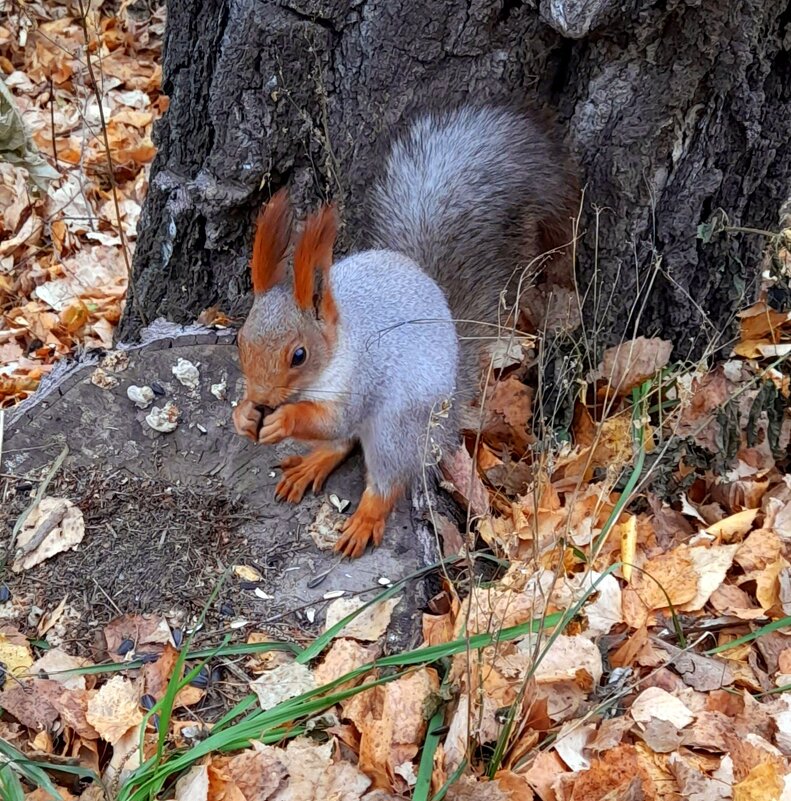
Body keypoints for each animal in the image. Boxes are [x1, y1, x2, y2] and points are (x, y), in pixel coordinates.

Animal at [232, 101, 580, 556]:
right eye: (240, 342)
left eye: (299, 355)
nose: (260, 399)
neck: (338, 346)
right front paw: (242, 414)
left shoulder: (362, 379)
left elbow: (334, 421)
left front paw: (284, 421)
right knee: (344, 445)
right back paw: (312, 463)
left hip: (397, 427)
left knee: (386, 476)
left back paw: (365, 518)